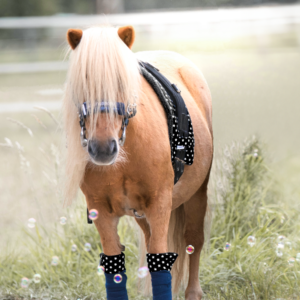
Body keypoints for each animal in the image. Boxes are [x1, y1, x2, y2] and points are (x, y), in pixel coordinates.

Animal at [63, 24, 213, 298]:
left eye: (122, 81)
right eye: (84, 81)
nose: (102, 148)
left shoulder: (160, 205)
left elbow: (161, 260)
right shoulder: (102, 212)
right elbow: (114, 267)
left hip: (197, 193)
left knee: (193, 240)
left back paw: (193, 291)